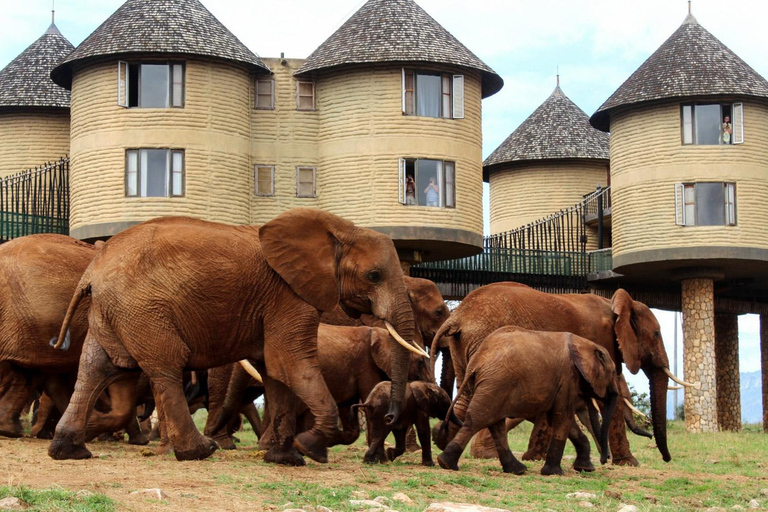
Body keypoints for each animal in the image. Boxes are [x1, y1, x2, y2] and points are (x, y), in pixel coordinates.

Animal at [49, 208, 420, 464]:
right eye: (374, 276)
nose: (389, 416)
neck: (341, 229)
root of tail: (93, 269)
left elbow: (274, 371)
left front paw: (284, 458)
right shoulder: (288, 295)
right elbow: (289, 364)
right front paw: (310, 448)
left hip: (113, 310)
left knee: (96, 367)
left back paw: (69, 450)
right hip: (143, 309)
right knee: (166, 366)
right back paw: (200, 451)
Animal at [438, 328, 616, 476]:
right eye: (613, 372)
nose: (604, 460)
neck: (583, 343)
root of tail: (476, 361)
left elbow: (561, 418)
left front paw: (586, 469)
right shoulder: (568, 377)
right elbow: (563, 417)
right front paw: (554, 473)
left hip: (492, 386)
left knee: (494, 424)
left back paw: (517, 470)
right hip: (496, 383)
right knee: (478, 420)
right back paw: (446, 464)